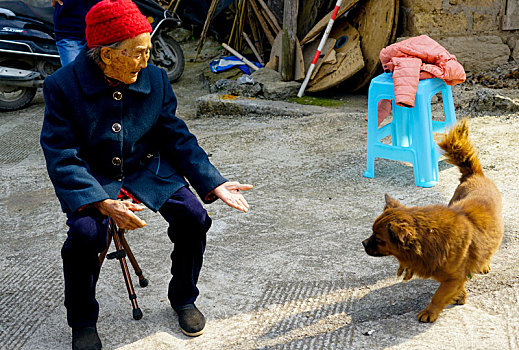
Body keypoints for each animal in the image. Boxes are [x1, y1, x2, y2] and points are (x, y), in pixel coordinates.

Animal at [362, 118, 504, 322]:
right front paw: (460, 295)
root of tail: (474, 174)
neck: (427, 240)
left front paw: (430, 311)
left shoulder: (453, 277)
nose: (363, 243)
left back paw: (483, 263)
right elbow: (455, 288)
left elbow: (439, 294)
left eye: (378, 239)